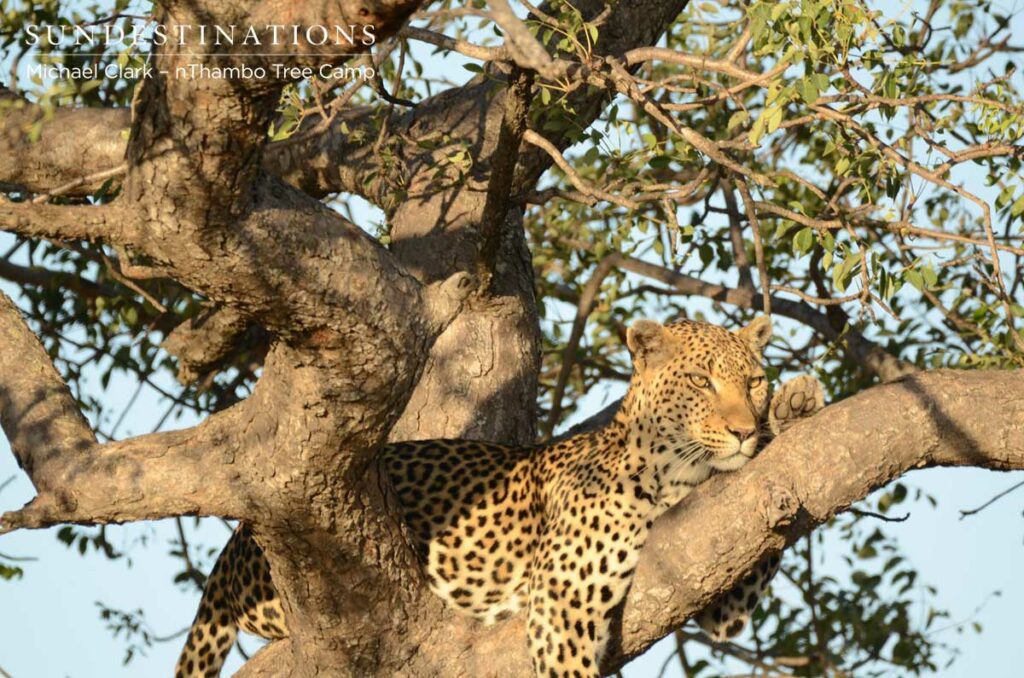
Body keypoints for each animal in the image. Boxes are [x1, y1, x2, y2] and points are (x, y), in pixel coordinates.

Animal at [175, 316, 824, 678]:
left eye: (754, 381)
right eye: (700, 382)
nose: (743, 430)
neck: (676, 474)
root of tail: (232, 549)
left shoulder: (718, 575)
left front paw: (797, 405)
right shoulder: (561, 600)